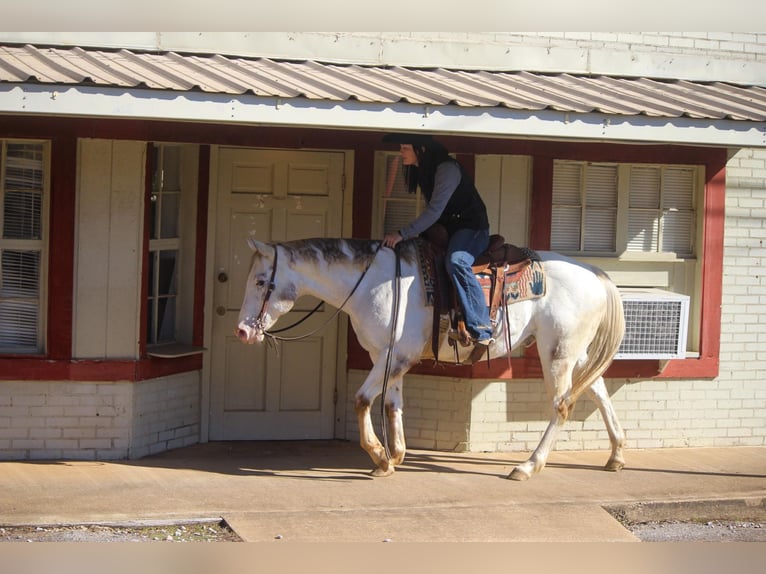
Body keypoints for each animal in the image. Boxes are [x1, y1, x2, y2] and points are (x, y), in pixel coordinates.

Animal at [237, 236, 628, 484]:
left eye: (260, 281)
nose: (242, 331)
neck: (374, 283)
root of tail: (595, 273)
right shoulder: (387, 356)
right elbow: (392, 404)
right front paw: (393, 458)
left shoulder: (394, 356)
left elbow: (362, 400)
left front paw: (377, 454)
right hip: (575, 354)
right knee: (598, 391)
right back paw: (616, 456)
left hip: (557, 352)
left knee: (562, 405)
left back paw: (528, 466)